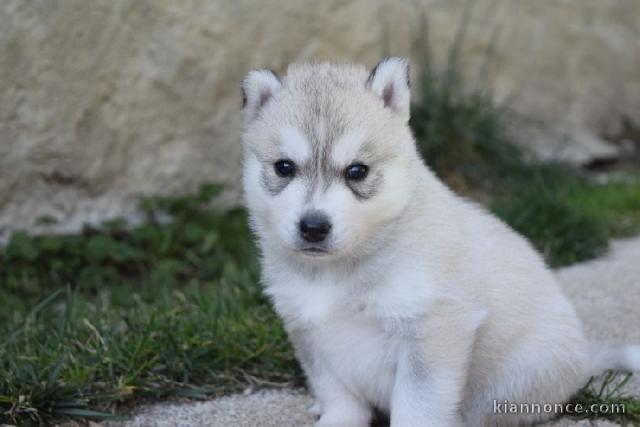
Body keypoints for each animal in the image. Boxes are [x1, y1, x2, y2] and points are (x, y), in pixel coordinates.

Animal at [241, 57, 640, 427]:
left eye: (357, 171)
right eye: (284, 167)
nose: (313, 227)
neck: (336, 271)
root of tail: (584, 361)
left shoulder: (433, 326)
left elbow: (417, 404)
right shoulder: (308, 332)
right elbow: (337, 393)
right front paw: (335, 418)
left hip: (518, 378)